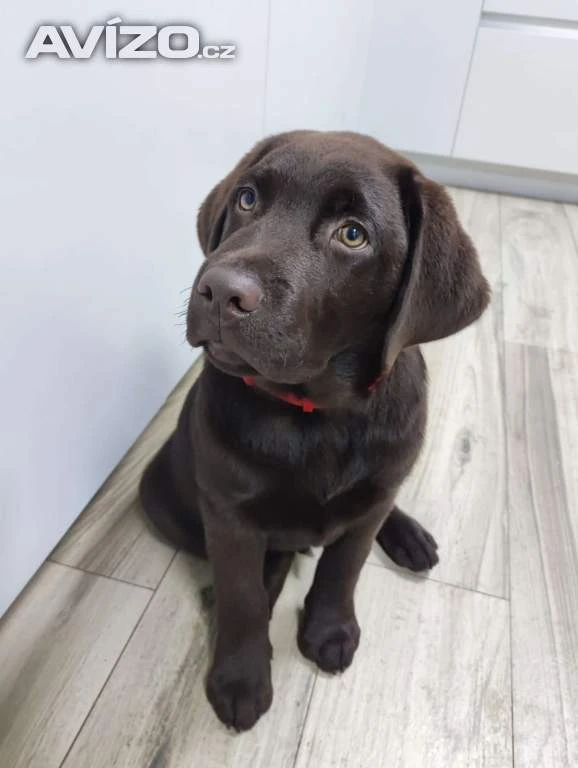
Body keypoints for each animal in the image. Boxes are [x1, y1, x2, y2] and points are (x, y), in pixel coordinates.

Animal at [139, 130, 490, 731]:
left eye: (352, 234)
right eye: (248, 199)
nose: (219, 291)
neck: (317, 414)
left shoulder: (366, 508)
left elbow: (343, 567)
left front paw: (329, 631)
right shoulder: (229, 515)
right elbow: (242, 595)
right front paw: (241, 677)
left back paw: (407, 534)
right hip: (160, 495)